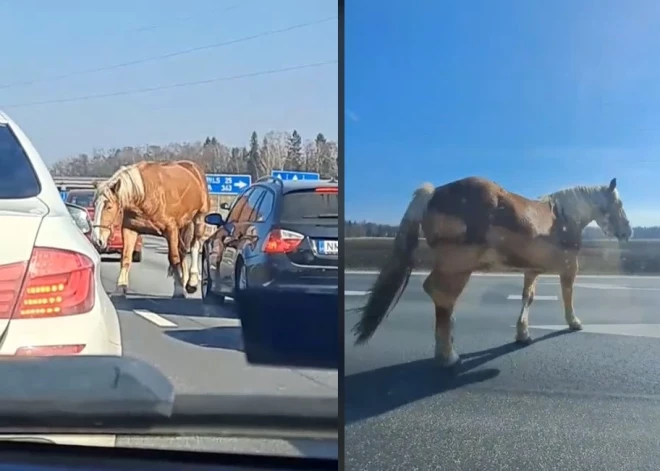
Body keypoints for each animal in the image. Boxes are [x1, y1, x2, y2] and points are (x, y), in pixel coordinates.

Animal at [92, 160, 209, 296]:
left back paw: (192, 282)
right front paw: (121, 287)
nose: (96, 239)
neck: (144, 194)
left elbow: (174, 258)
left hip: (199, 218)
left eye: (109, 206)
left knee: (194, 246)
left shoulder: (171, 229)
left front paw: (179, 290)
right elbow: (126, 257)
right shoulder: (130, 229)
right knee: (182, 251)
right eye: (95, 204)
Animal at [354, 176, 632, 368]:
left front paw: (523, 334)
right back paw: (448, 354)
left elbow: (528, 297)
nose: (627, 232)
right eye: (618, 203)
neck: (563, 217)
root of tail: (433, 193)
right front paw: (574, 322)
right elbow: (568, 295)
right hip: (457, 265)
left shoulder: (531, 270)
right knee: (440, 293)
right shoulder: (569, 266)